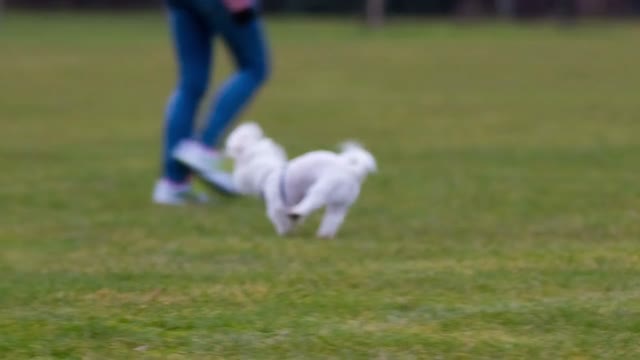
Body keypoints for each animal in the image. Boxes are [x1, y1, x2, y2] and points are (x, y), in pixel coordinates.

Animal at [225, 122, 378, 238]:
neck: (268, 172)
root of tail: (353, 171)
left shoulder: (276, 204)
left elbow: (280, 219)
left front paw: (284, 232)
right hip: (341, 203)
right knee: (333, 219)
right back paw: (324, 235)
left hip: (323, 187)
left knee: (311, 202)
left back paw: (297, 212)